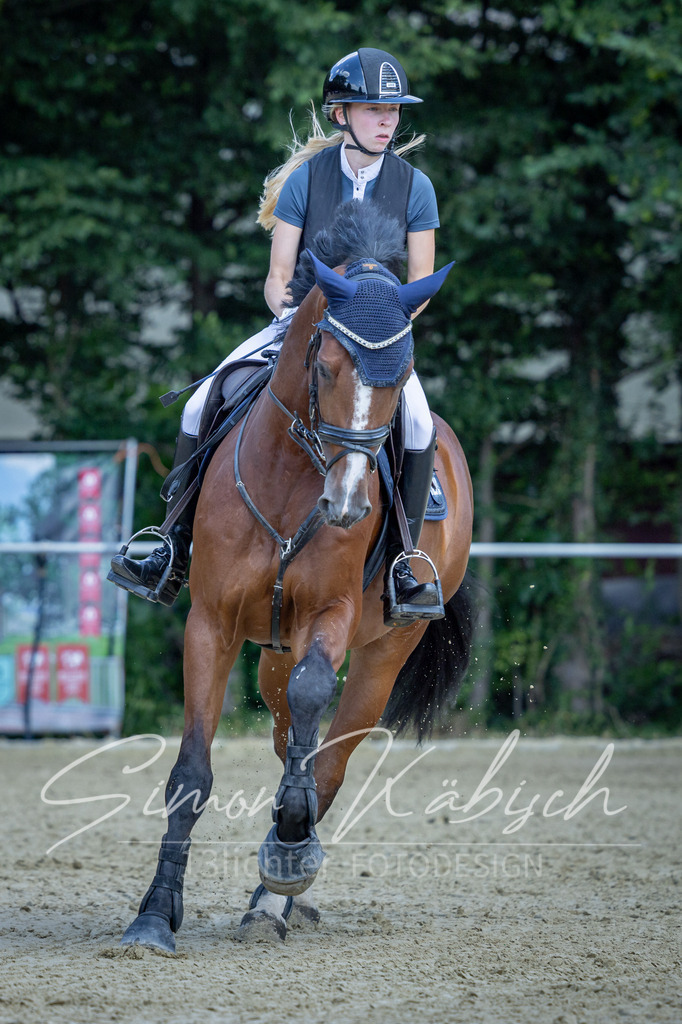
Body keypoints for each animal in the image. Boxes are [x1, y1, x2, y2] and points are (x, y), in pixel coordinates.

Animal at [120, 201, 474, 950]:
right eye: (328, 364)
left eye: (401, 373)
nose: (348, 506)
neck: (290, 482)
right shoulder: (211, 623)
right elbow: (191, 772)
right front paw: (155, 914)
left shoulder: (330, 618)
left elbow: (316, 710)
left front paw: (288, 848)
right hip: (270, 653)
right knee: (291, 738)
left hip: (382, 653)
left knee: (328, 758)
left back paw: (277, 887)